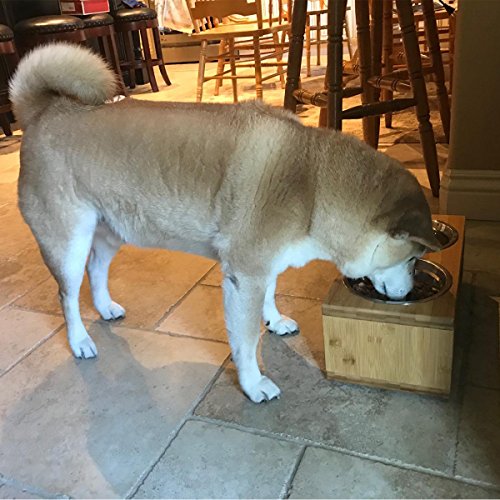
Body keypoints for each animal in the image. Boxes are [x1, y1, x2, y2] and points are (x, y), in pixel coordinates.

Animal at [10, 43, 440, 403]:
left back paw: (105, 307)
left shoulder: (262, 266)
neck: (314, 185)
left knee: (97, 270)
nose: (407, 293)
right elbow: (246, 341)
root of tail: (44, 113)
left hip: (109, 231)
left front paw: (274, 320)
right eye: (413, 259)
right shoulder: (245, 275)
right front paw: (253, 384)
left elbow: (270, 294)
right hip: (69, 242)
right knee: (67, 296)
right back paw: (79, 340)